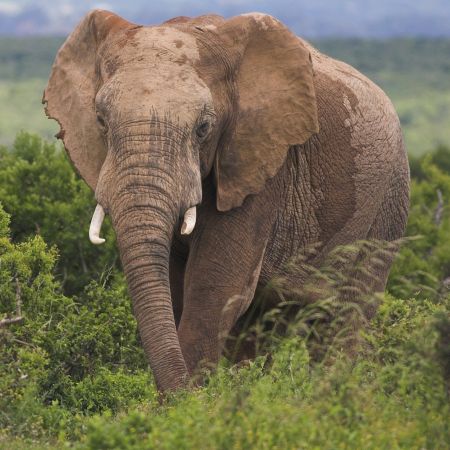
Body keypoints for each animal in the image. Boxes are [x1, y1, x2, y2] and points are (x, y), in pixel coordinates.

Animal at [44, 9, 410, 390]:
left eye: (204, 128)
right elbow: (177, 287)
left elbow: (215, 286)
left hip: (389, 202)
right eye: (101, 121)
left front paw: (189, 403)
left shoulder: (261, 163)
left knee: (345, 317)